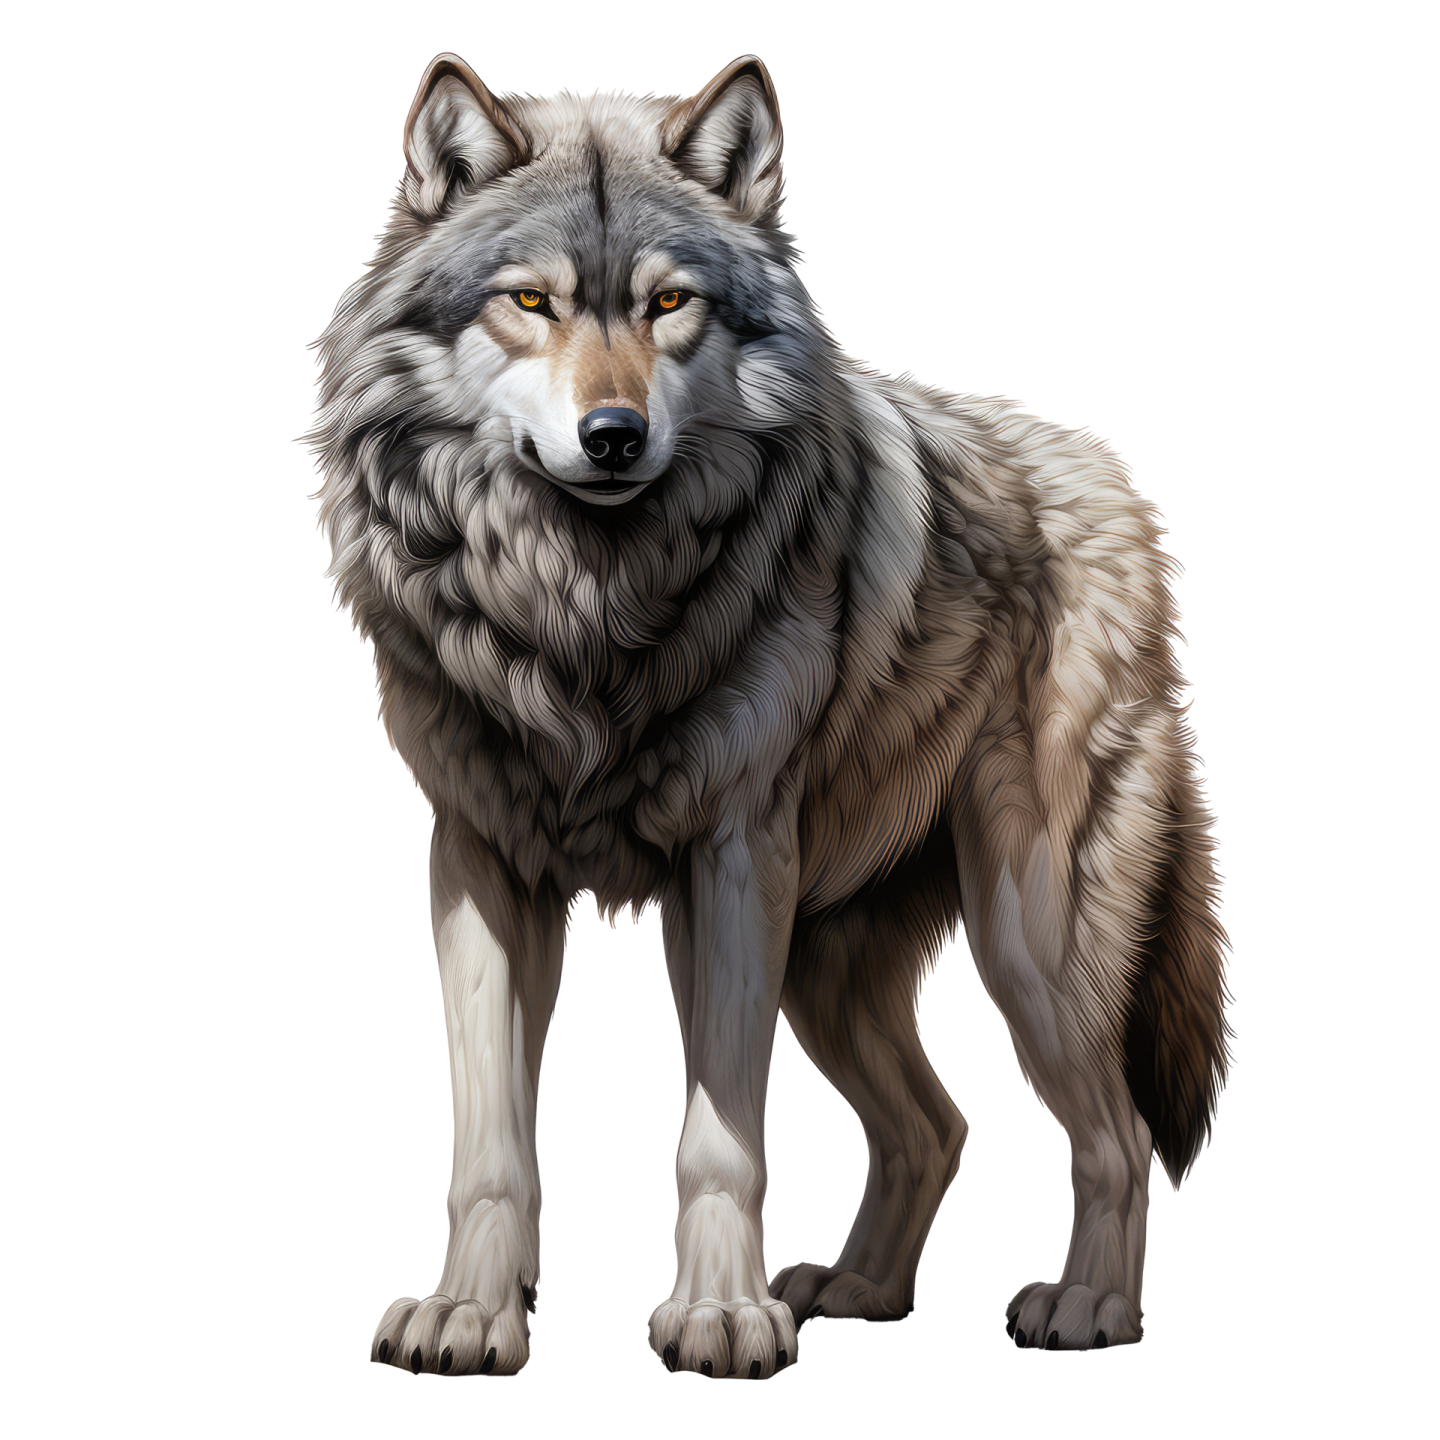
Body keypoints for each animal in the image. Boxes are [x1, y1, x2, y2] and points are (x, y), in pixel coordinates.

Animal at [305, 52, 1233, 1378]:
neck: (589, 608)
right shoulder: (483, 863)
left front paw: (721, 1321)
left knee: (1112, 1136)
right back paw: (857, 1288)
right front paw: (470, 1318)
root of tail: (1116, 485)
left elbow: (719, 1140)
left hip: (1031, 940)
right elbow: (489, 1145)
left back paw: (1088, 1309)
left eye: (669, 303)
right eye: (531, 301)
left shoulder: (733, 863)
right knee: (937, 1126)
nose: (613, 436)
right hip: (833, 969)